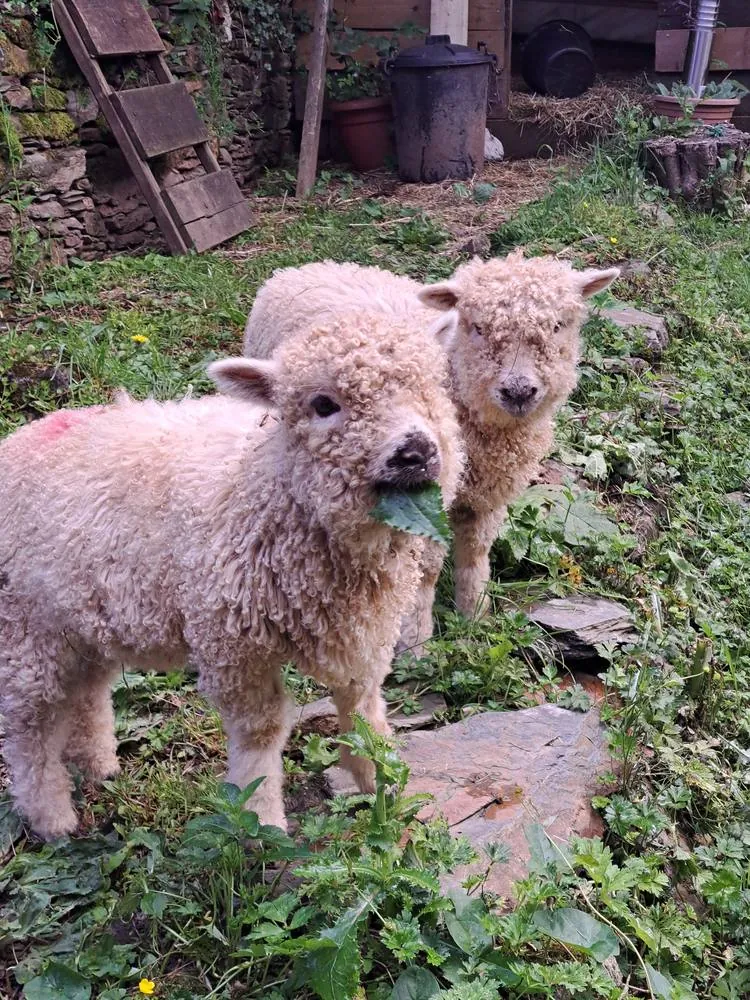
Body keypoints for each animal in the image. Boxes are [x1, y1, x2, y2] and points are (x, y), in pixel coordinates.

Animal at [0, 315, 464, 840]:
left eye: (430, 386)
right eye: (323, 404)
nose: (415, 451)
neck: (266, 483)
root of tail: (25, 434)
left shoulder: (365, 629)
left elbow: (362, 707)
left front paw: (383, 783)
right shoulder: (233, 642)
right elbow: (261, 730)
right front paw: (261, 818)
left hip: (79, 617)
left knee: (87, 689)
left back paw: (99, 764)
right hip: (25, 625)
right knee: (31, 724)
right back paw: (51, 815)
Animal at [242, 253, 619, 653]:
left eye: (559, 325)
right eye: (477, 327)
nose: (518, 391)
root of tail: (302, 268)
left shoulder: (489, 496)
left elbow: (476, 553)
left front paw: (476, 615)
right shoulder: (424, 503)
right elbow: (425, 574)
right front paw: (416, 646)